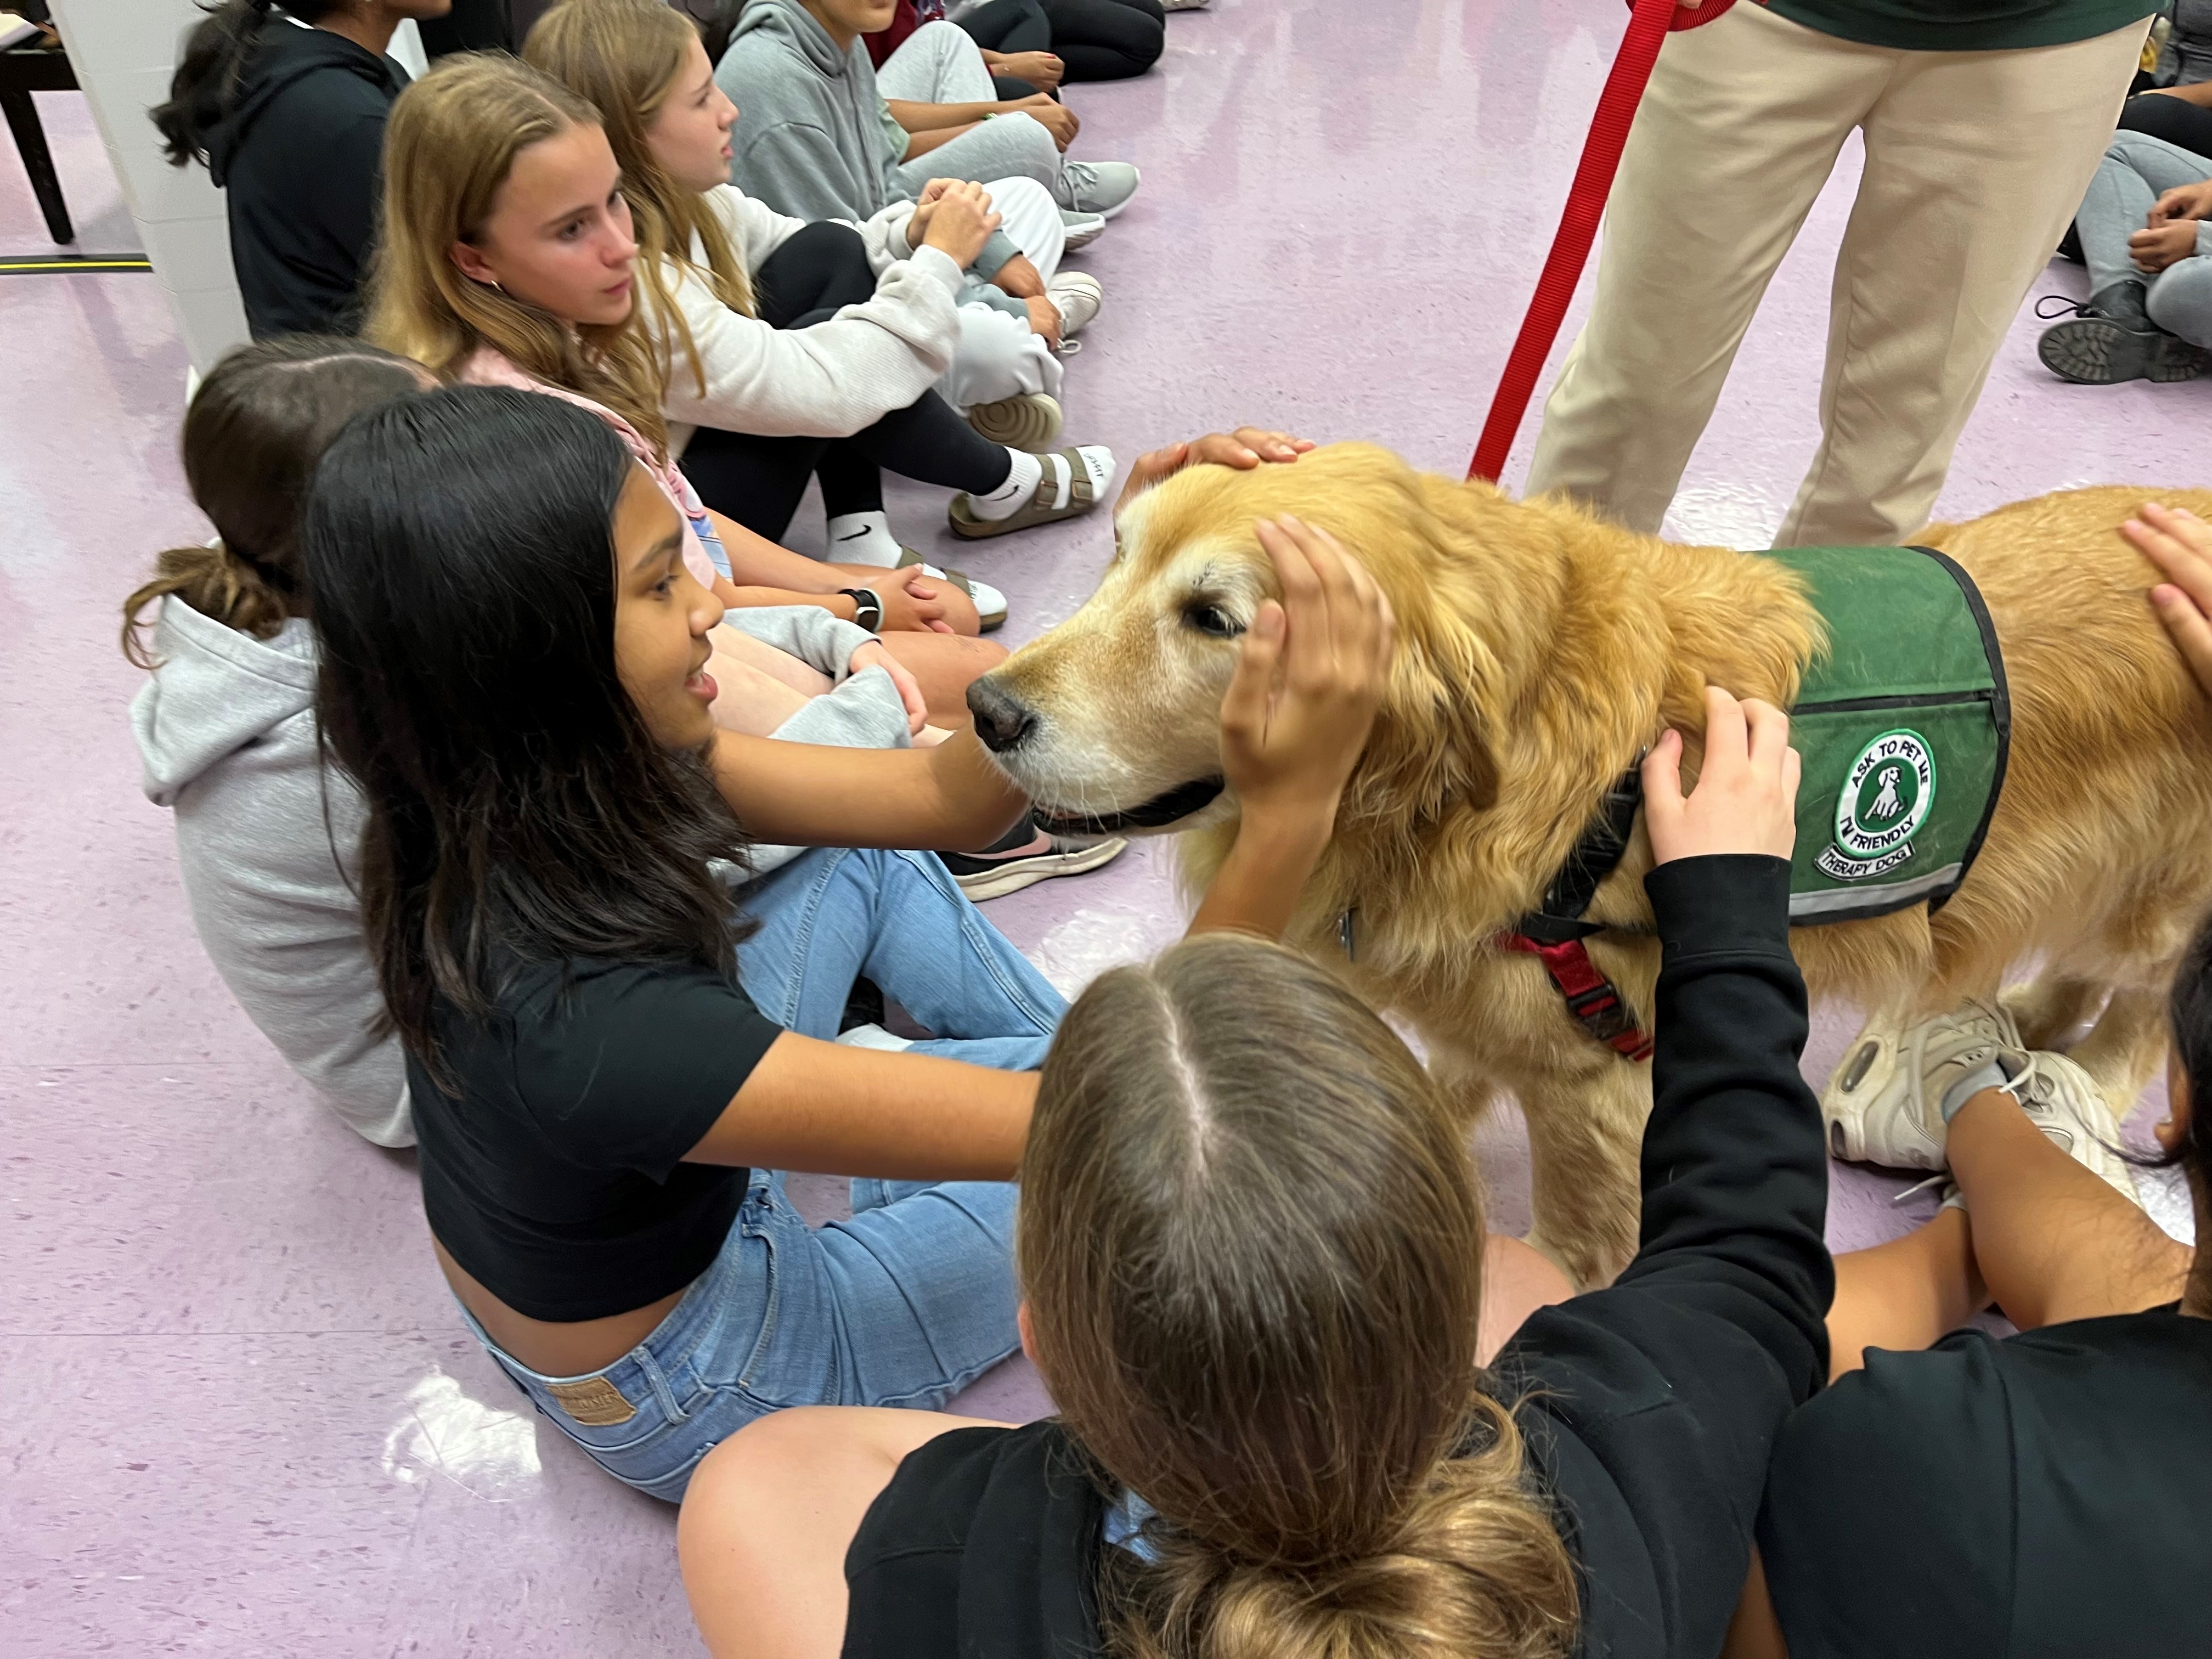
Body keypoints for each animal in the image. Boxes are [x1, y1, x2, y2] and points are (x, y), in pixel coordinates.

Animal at [978, 449, 2212, 1291]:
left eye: (1213, 618)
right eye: (1118, 557)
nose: (984, 708)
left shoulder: (1594, 1078)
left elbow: (1575, 1221)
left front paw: (1551, 1280)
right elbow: (1445, 1064)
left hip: (2160, 907)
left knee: (2141, 1005)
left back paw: (2079, 1073)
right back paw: (2024, 1010)